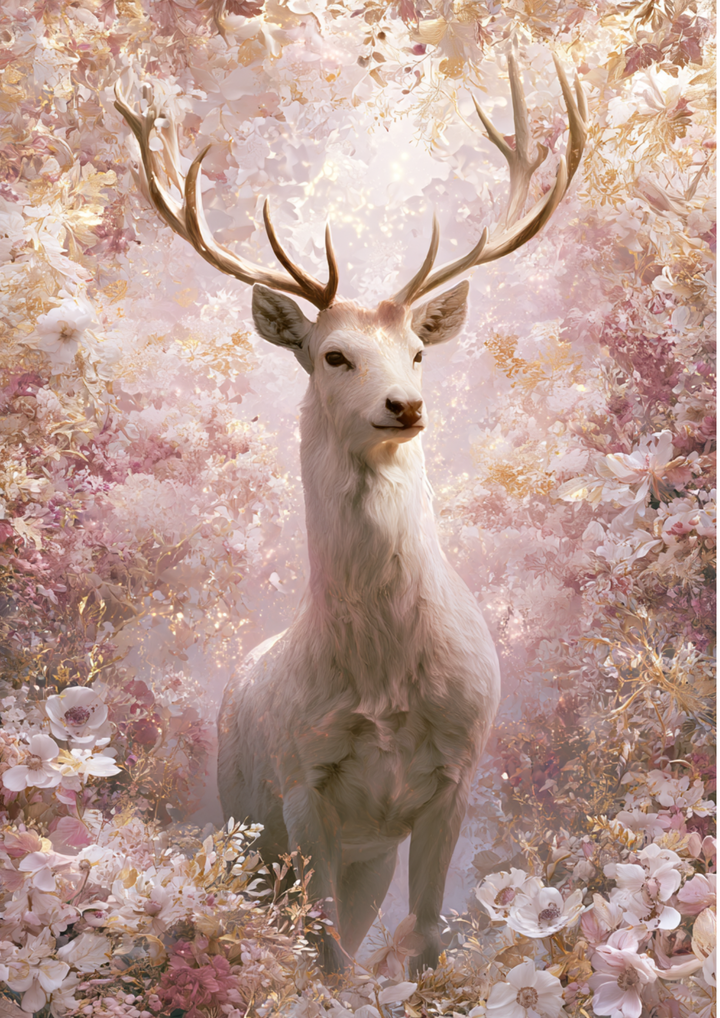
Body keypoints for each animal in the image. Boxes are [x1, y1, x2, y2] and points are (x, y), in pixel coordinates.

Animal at [114, 50, 587, 975]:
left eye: (417, 350)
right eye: (334, 355)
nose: (405, 405)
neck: (385, 677)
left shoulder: (456, 772)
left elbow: (427, 935)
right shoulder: (304, 785)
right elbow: (327, 958)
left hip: (368, 855)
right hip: (249, 823)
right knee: (290, 923)